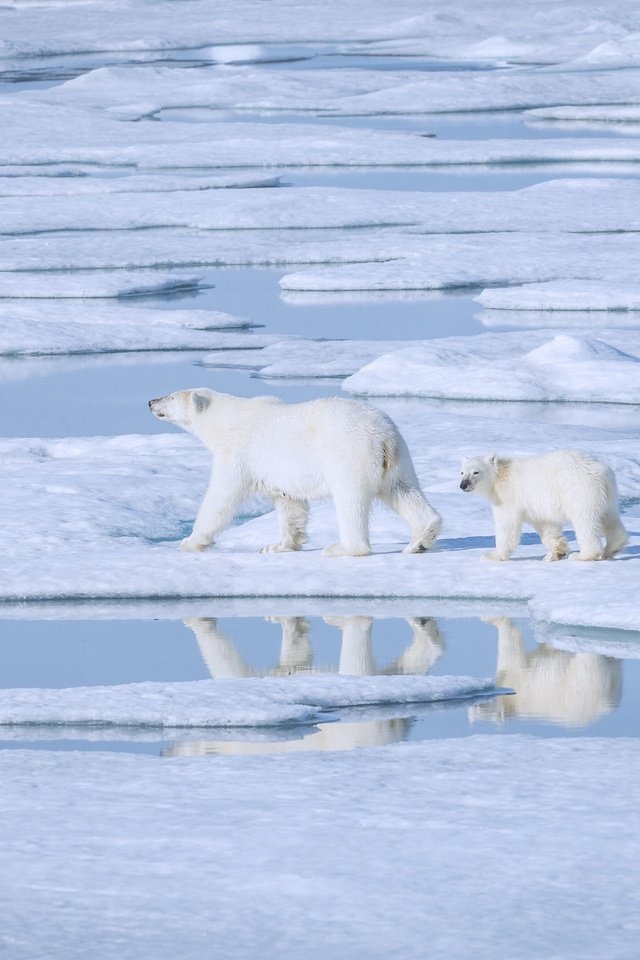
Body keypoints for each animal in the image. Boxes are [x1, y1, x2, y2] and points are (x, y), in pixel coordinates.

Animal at [149, 388, 440, 556]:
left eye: (171, 396)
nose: (151, 401)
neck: (225, 420)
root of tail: (383, 436)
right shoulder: (279, 474)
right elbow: (290, 504)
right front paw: (278, 546)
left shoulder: (238, 452)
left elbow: (222, 496)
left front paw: (191, 541)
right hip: (398, 459)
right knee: (404, 491)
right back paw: (420, 540)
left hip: (348, 453)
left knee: (350, 500)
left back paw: (342, 548)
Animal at [460, 452, 632, 564]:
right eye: (462, 472)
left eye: (476, 472)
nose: (463, 485)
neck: (500, 475)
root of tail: (602, 473)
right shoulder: (536, 507)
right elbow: (547, 526)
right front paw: (555, 553)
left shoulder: (508, 497)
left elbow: (507, 526)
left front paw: (491, 555)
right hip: (607, 496)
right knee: (610, 519)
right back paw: (612, 548)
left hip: (579, 492)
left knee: (585, 522)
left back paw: (583, 555)